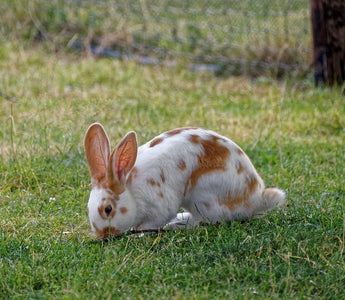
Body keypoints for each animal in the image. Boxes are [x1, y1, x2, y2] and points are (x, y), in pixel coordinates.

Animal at [84, 122, 284, 239]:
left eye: (108, 209)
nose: (102, 235)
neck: (131, 190)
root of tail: (256, 199)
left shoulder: (160, 207)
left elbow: (151, 223)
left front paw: (138, 233)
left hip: (203, 196)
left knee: (205, 222)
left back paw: (177, 225)